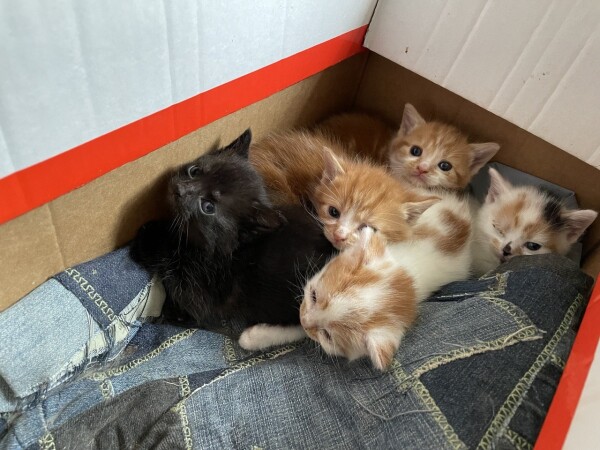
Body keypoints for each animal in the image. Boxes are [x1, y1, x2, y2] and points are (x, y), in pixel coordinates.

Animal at [130, 129, 332, 334]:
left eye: (208, 207)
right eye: (194, 171)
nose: (179, 189)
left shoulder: (206, 306)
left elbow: (191, 316)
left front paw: (162, 317)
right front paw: (146, 237)